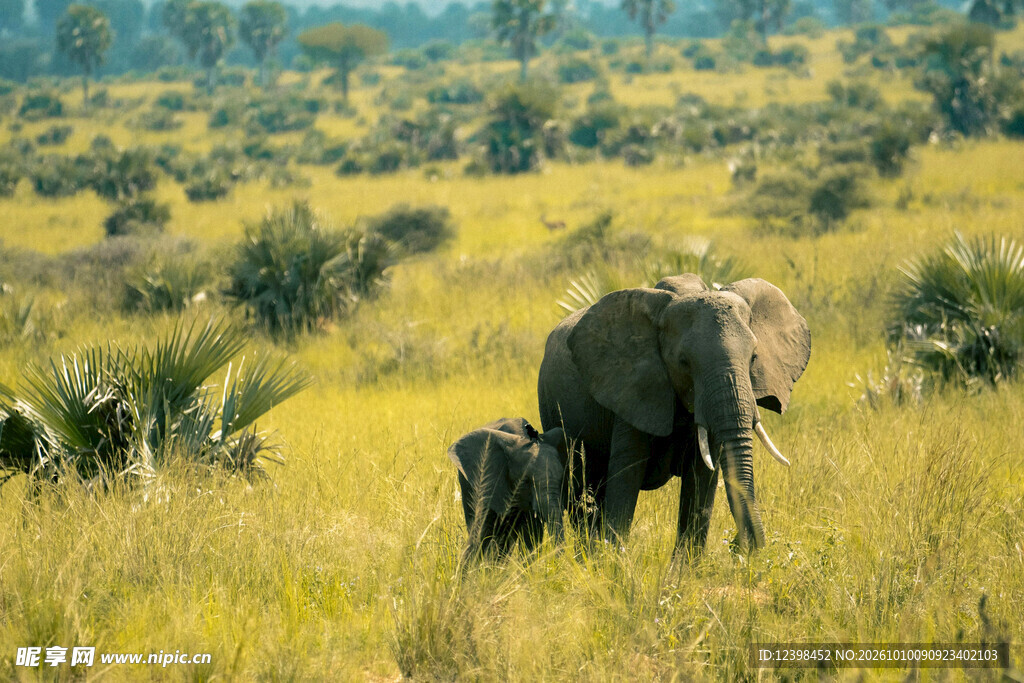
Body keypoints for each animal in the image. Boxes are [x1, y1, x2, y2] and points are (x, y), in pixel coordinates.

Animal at [537, 274, 810, 556]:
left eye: (754, 357)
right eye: (684, 362)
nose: (738, 545)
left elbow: (701, 485)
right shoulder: (631, 389)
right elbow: (625, 483)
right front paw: (614, 563)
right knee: (583, 497)